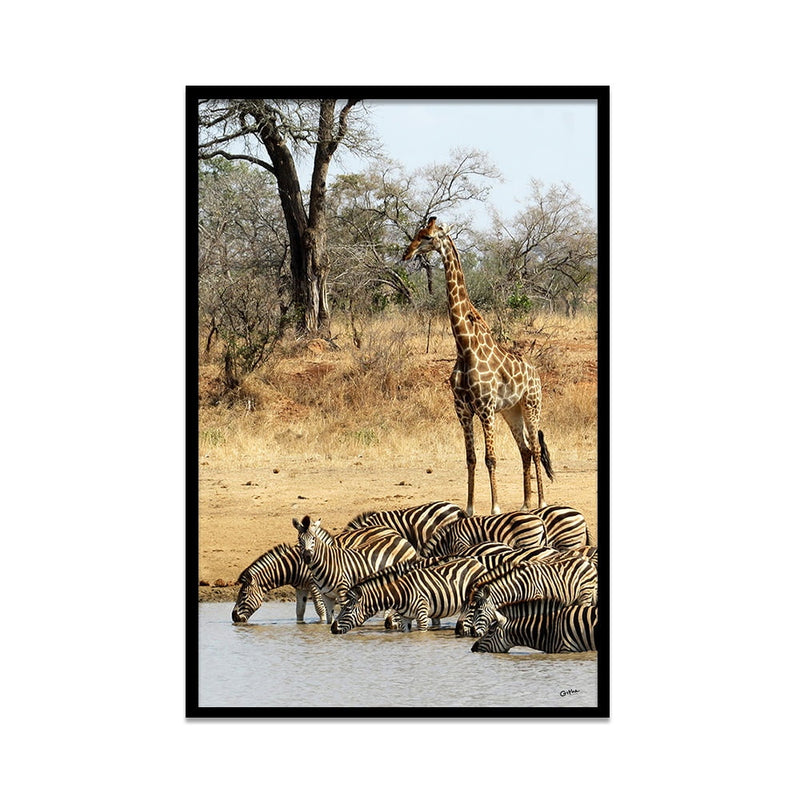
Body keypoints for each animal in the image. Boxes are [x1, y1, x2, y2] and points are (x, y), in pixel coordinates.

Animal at [331, 556, 486, 634]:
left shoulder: (422, 616)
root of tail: (477, 562)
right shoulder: (405, 619)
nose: (332, 628)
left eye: (347, 609)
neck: (400, 593)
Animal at [402, 217, 553, 516]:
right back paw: (525, 503)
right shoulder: (462, 409)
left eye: (427, 237)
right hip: (510, 411)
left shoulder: (485, 408)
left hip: (531, 404)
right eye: (416, 234)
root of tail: (536, 373)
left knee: (536, 449)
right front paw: (470, 508)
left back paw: (541, 502)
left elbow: (490, 457)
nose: (407, 254)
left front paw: (495, 507)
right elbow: (470, 458)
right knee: (525, 449)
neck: (464, 345)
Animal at [456, 556, 598, 638]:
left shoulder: (536, 599)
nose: (458, 630)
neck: (517, 588)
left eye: (475, 609)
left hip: (585, 593)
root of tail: (587, 561)